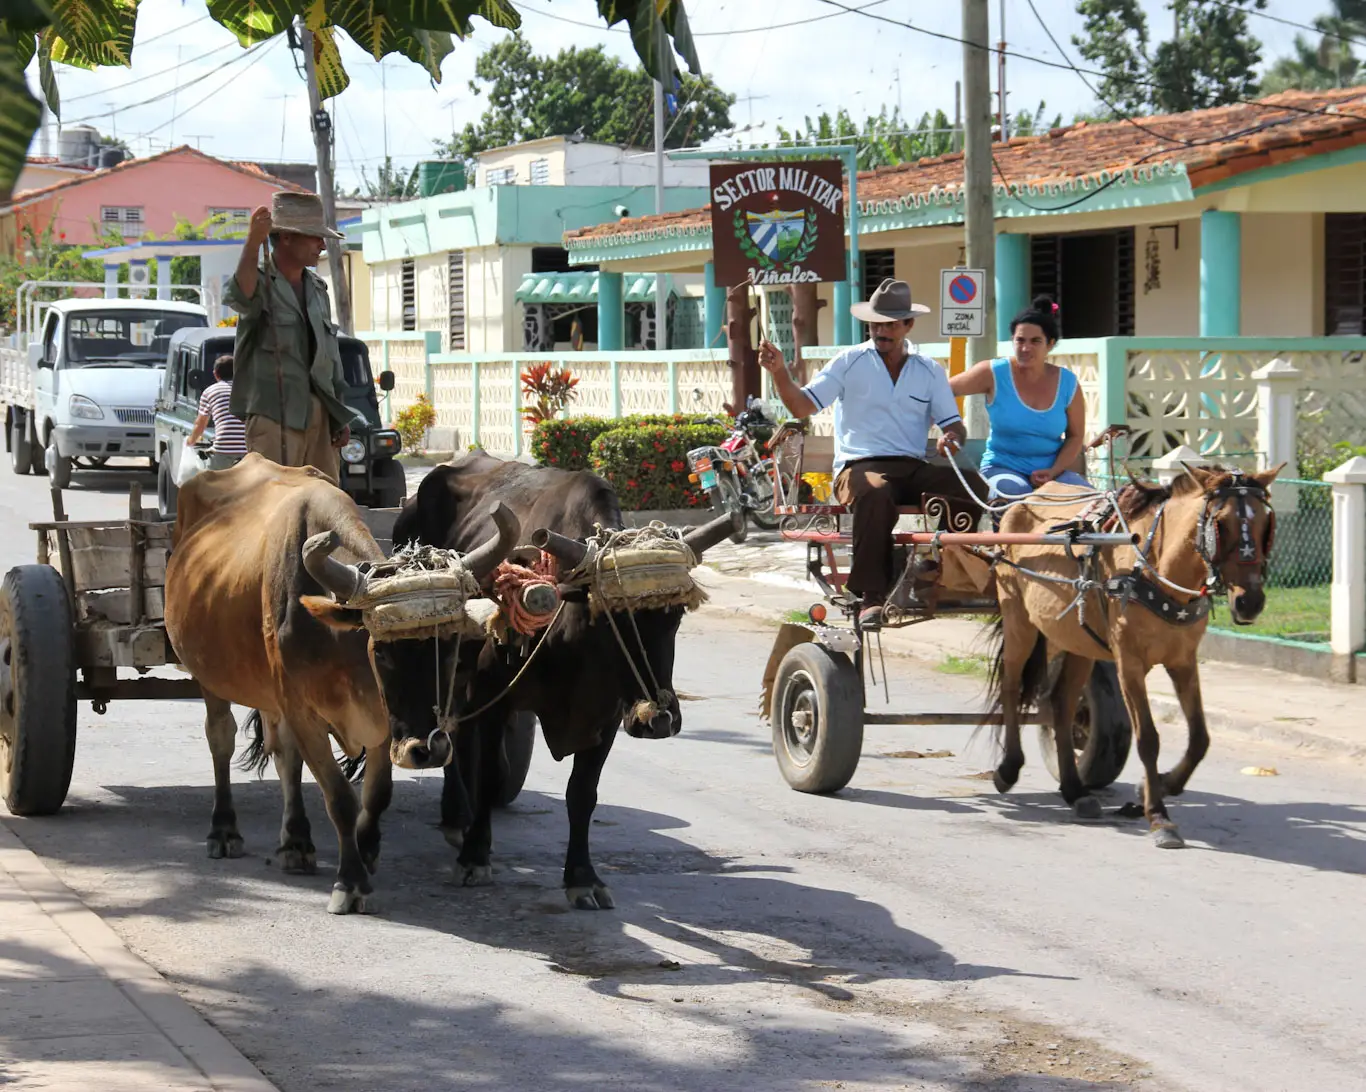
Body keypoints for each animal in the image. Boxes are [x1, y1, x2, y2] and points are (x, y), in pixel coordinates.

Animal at [983, 464, 1278, 847]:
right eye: (1220, 523)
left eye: (1265, 523)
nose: (1249, 601)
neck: (1157, 570)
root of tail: (1023, 502)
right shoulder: (1129, 663)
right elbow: (1148, 738)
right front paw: (1159, 816)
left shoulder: (1183, 661)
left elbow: (1200, 738)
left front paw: (1161, 786)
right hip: (1018, 616)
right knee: (1011, 684)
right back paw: (1008, 769)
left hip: (1079, 640)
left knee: (1061, 703)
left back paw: (1074, 790)